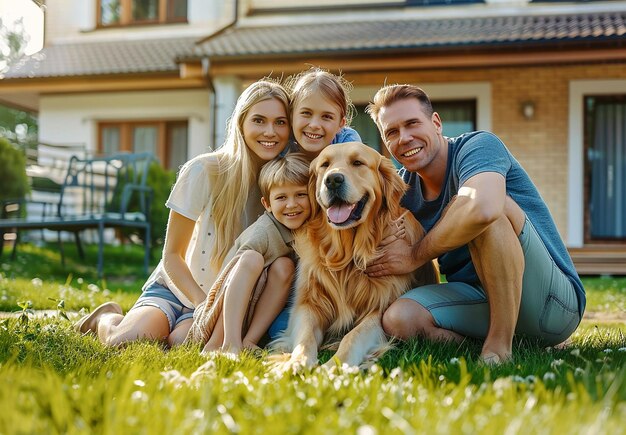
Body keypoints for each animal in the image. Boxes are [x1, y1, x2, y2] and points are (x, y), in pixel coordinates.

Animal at [270, 142, 436, 372]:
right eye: (324, 165)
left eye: (358, 163)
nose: (333, 180)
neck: (347, 256)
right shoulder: (308, 304)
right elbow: (305, 338)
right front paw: (297, 362)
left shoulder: (379, 311)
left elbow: (352, 336)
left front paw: (334, 366)